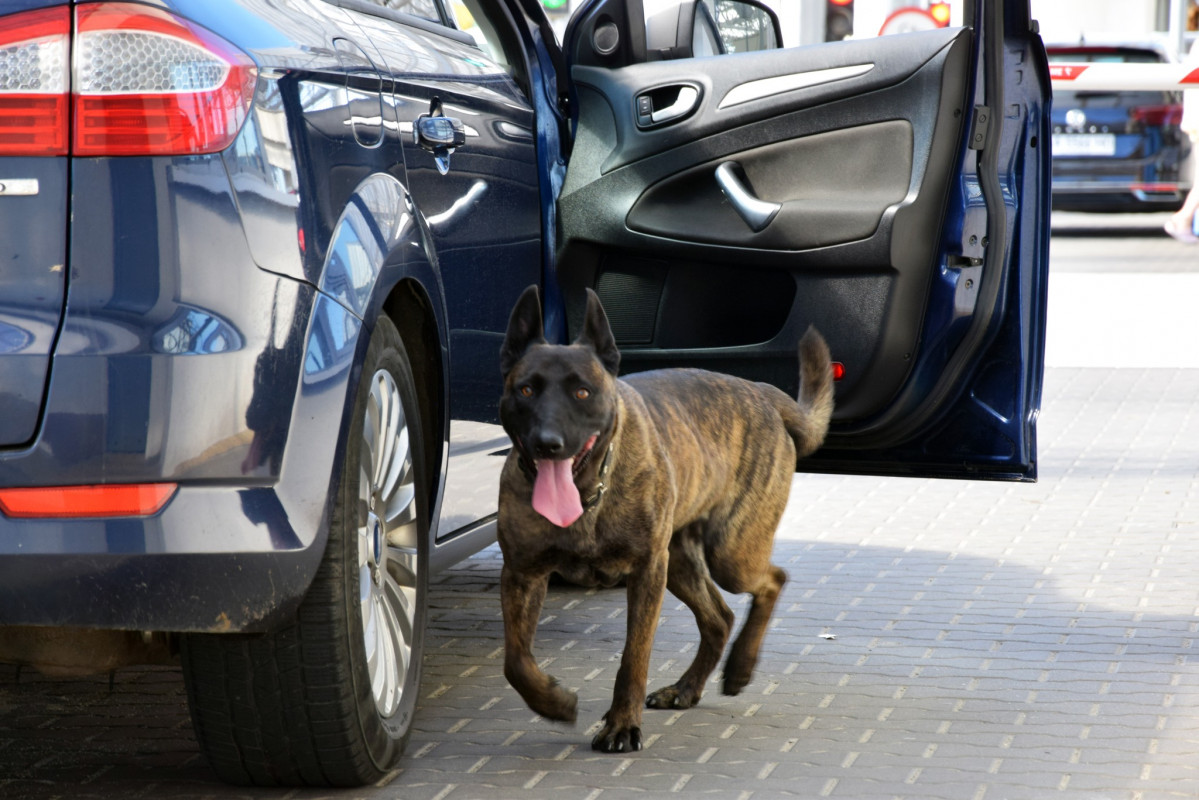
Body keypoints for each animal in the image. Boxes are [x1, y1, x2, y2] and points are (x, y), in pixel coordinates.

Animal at [496, 284, 834, 753]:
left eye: (582, 393)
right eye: (526, 390)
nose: (549, 443)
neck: (586, 497)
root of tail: (762, 392)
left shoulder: (646, 573)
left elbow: (633, 657)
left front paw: (622, 725)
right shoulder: (522, 574)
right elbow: (516, 660)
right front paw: (554, 701)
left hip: (730, 554)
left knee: (773, 580)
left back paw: (741, 667)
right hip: (680, 563)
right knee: (719, 619)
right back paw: (687, 688)